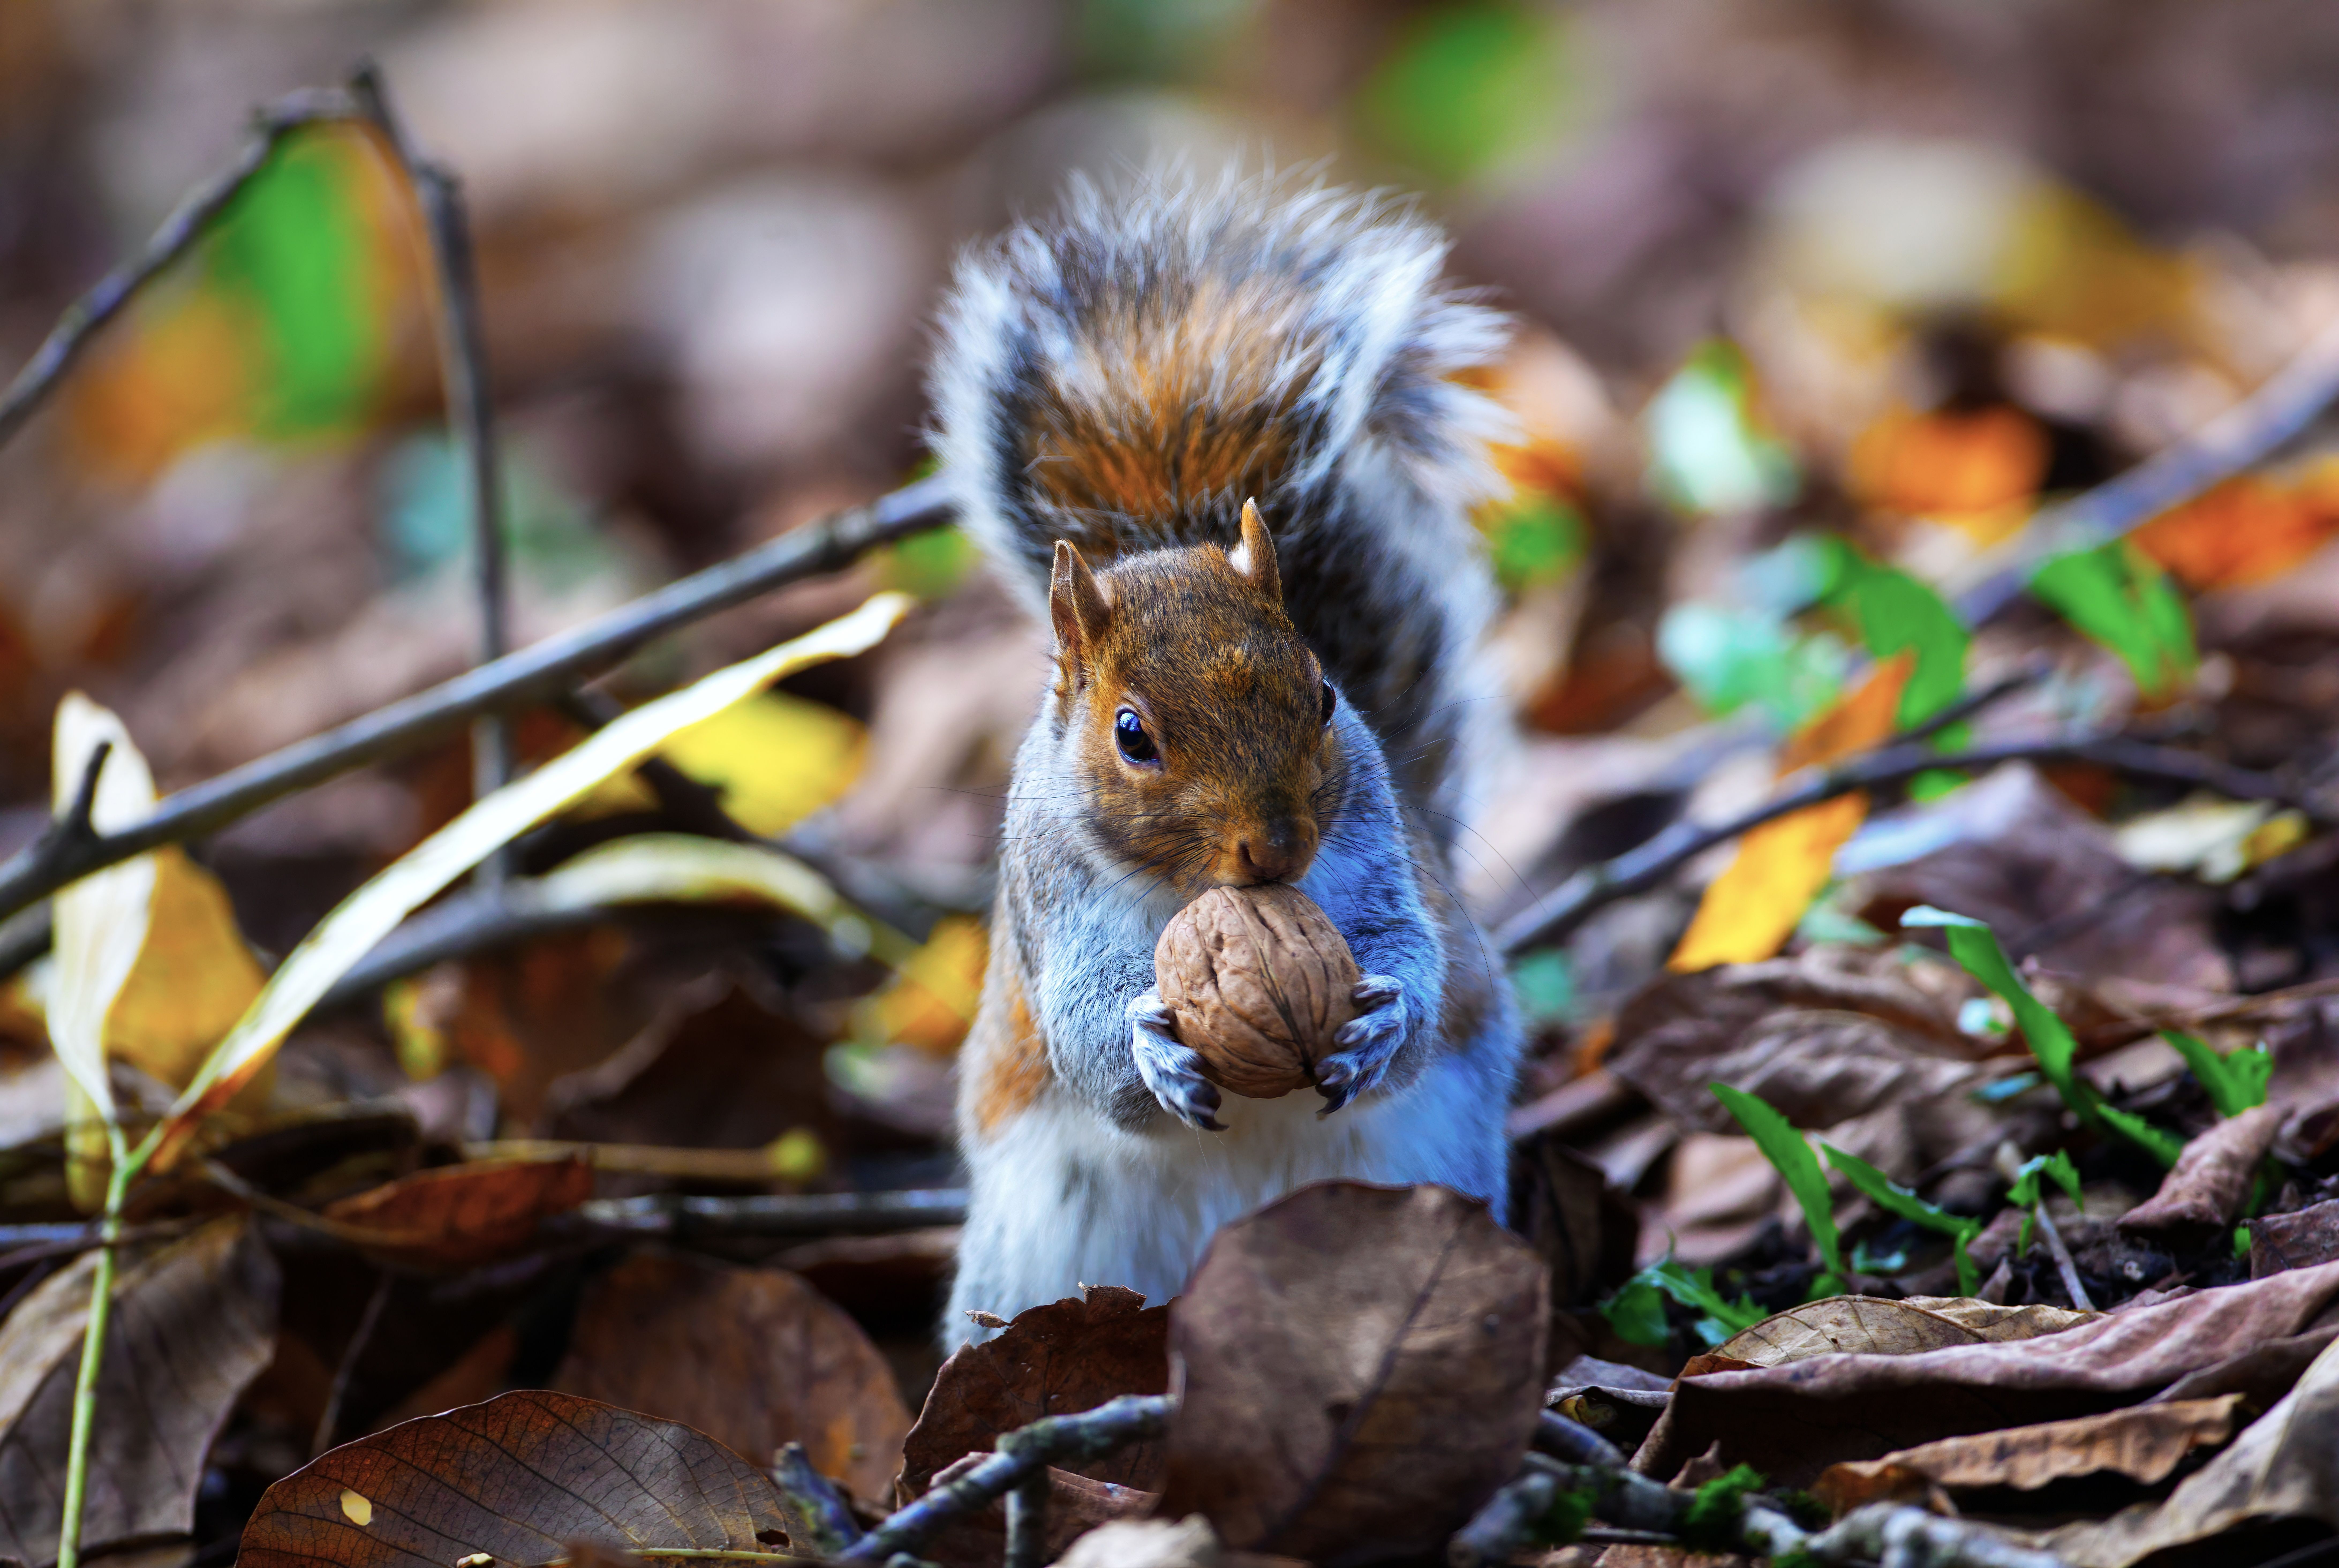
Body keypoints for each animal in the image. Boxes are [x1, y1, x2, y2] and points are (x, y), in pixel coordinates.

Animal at [928, 172, 1523, 1345]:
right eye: (1131, 734)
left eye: (1327, 693)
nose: (1280, 847)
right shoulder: (1053, 906)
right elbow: (1082, 1036)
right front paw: (1149, 1051)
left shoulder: (1375, 859)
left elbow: (1418, 962)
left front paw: (1385, 1021)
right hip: (1035, 1251)